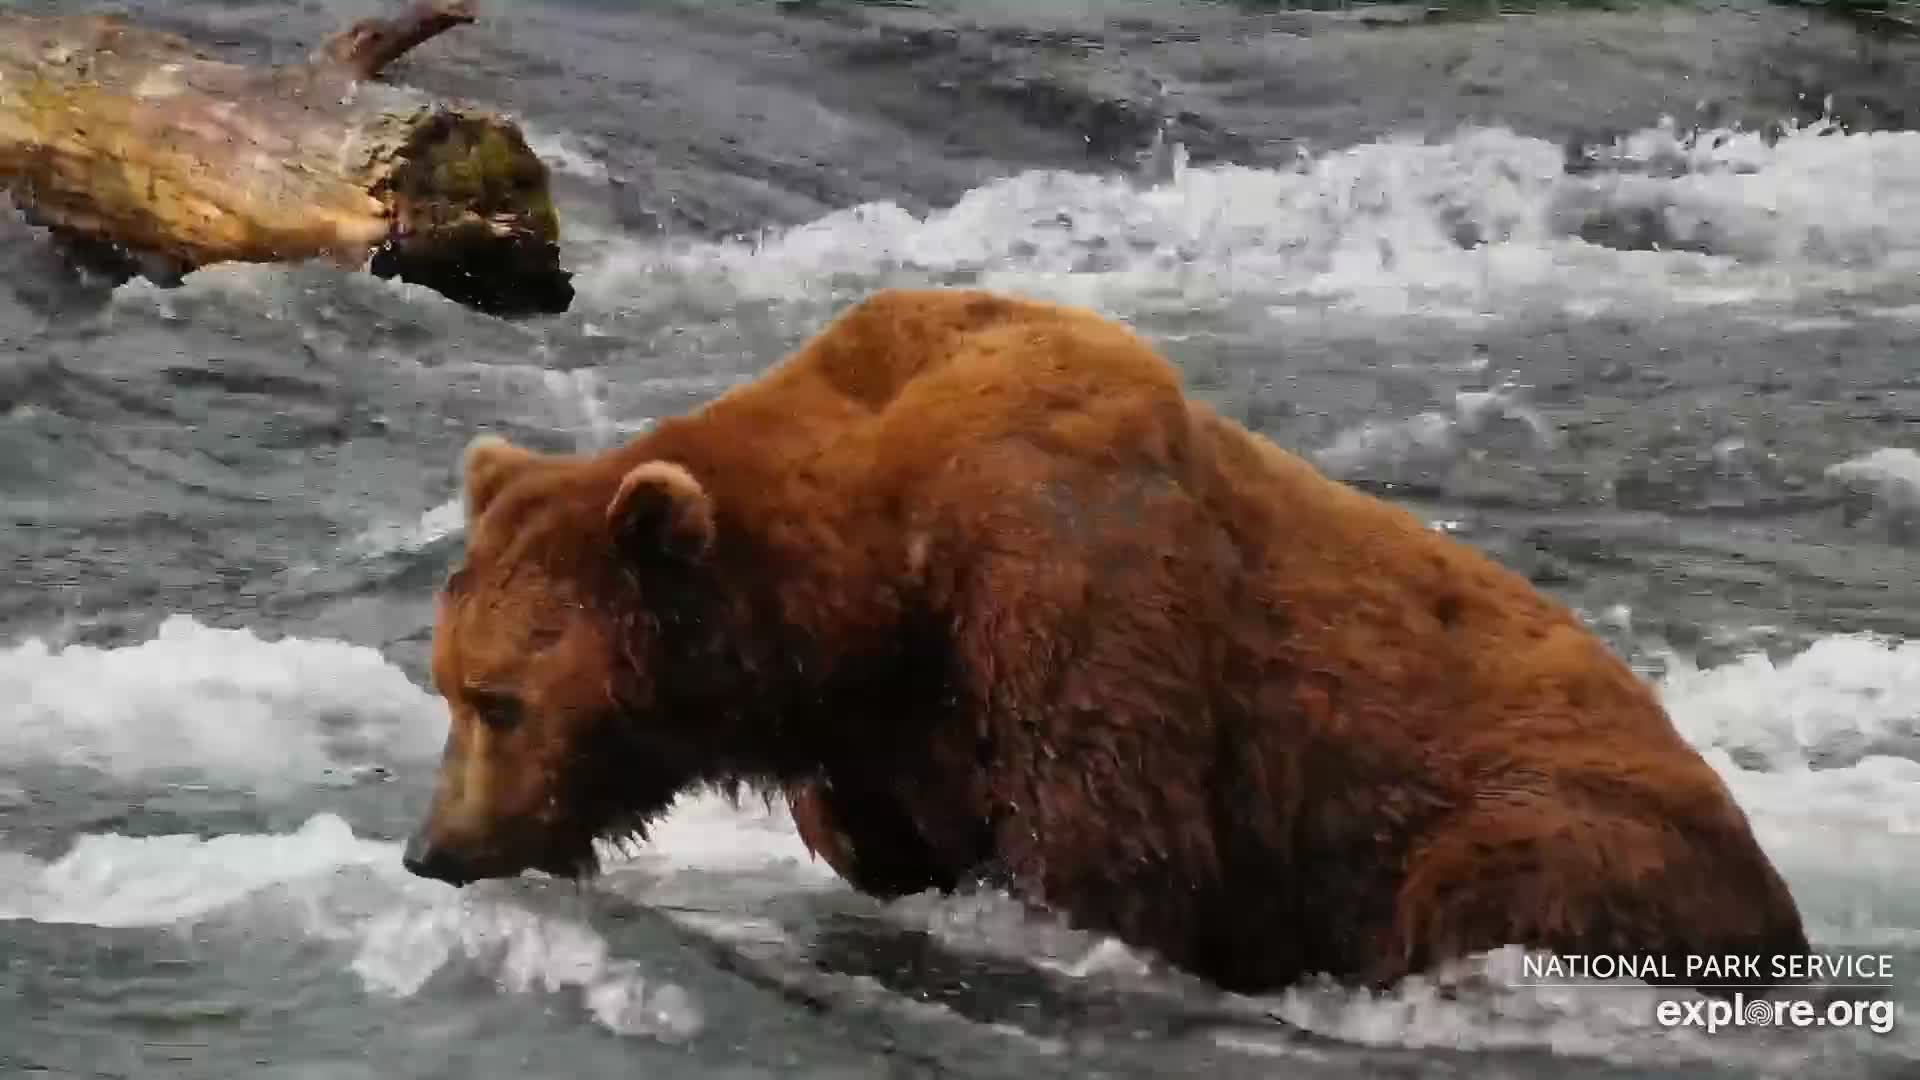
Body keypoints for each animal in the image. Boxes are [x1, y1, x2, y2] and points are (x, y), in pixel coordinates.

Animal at [402, 286, 1808, 995]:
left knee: (1482, 880)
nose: (433, 850)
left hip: (1571, 827)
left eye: (500, 696)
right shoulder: (885, 726)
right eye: (446, 684)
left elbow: (1112, 854)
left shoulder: (1065, 581)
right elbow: (879, 834)